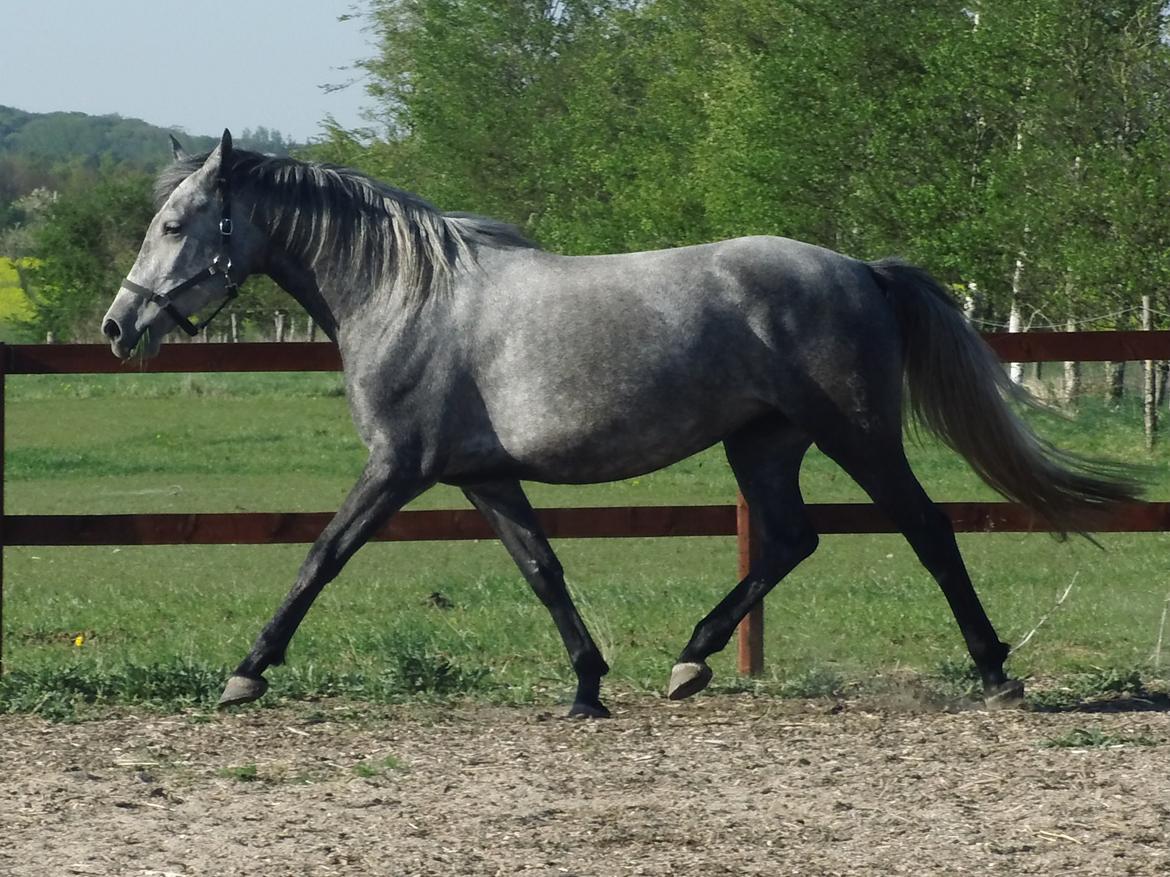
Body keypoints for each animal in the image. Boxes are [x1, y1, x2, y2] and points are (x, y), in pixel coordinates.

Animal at [105, 132, 1137, 720]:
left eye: (176, 223)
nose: (119, 326)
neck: (407, 297)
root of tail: (859, 269)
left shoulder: (397, 467)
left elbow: (319, 558)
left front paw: (246, 673)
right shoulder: (482, 475)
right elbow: (543, 569)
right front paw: (587, 686)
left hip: (858, 434)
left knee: (926, 528)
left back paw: (996, 671)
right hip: (762, 442)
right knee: (790, 539)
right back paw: (690, 661)